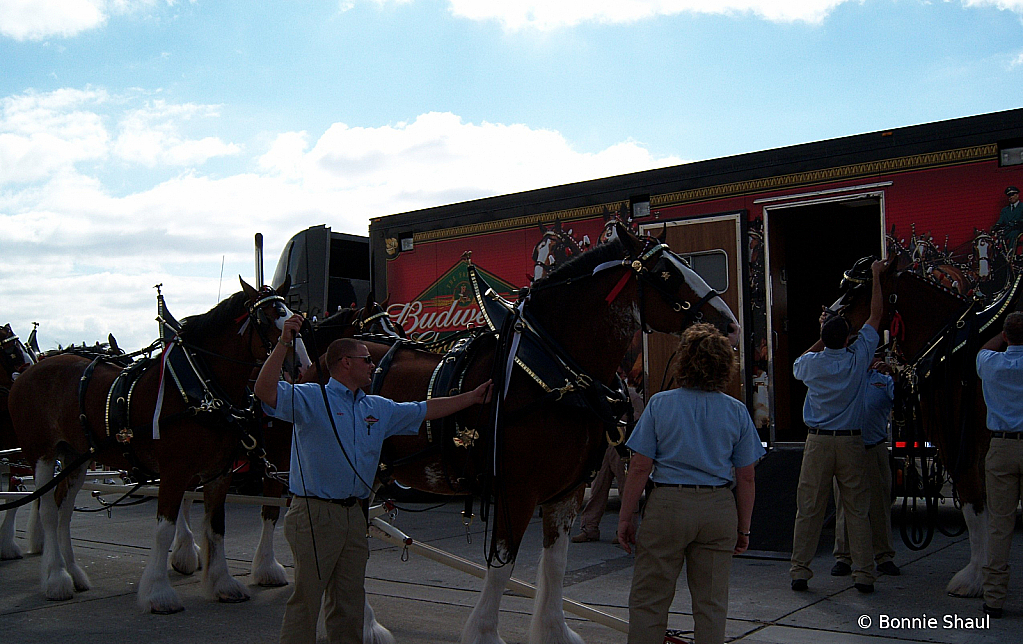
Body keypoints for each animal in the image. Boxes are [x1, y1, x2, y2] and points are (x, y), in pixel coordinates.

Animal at [7, 280, 306, 613]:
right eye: (268, 318)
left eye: (295, 316)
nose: (299, 364)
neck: (200, 389)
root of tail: (29, 371)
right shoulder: (174, 471)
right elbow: (164, 529)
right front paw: (158, 593)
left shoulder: (220, 473)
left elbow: (216, 527)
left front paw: (222, 584)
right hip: (43, 455)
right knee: (47, 510)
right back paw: (56, 578)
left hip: (77, 457)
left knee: (64, 510)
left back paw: (73, 573)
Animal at [826, 254, 1018, 596]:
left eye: (855, 293)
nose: (825, 321)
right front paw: (988, 574)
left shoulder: (960, 443)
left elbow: (974, 507)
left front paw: (975, 577)